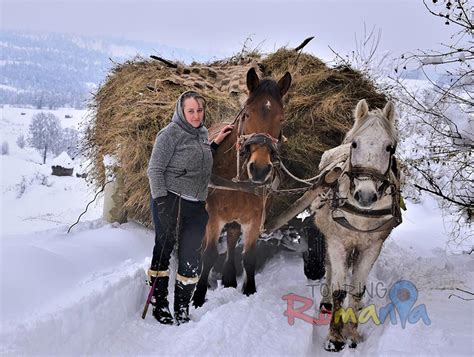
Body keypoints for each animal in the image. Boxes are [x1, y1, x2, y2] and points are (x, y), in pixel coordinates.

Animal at [193, 67, 292, 306]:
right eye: (247, 114)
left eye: (281, 118)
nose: (260, 169)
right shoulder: (214, 217)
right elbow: (209, 254)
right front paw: (198, 297)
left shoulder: (254, 219)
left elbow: (249, 257)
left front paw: (249, 290)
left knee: (231, 239)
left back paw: (229, 277)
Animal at [312, 98, 402, 352]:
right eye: (354, 143)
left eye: (389, 147)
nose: (366, 195)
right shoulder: (338, 242)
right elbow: (340, 290)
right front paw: (334, 336)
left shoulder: (372, 246)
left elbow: (357, 289)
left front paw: (351, 332)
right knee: (330, 268)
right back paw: (326, 302)